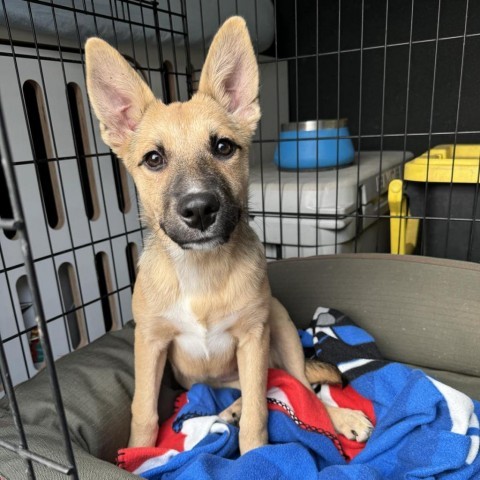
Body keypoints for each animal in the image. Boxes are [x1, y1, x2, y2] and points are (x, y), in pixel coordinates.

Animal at [85, 16, 372, 456]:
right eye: (154, 159)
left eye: (223, 147)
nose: (200, 210)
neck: (201, 269)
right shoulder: (150, 343)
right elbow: (144, 410)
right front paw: (138, 453)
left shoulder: (252, 338)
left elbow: (261, 414)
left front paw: (255, 455)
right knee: (269, 385)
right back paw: (227, 411)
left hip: (279, 325)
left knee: (300, 386)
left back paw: (336, 417)